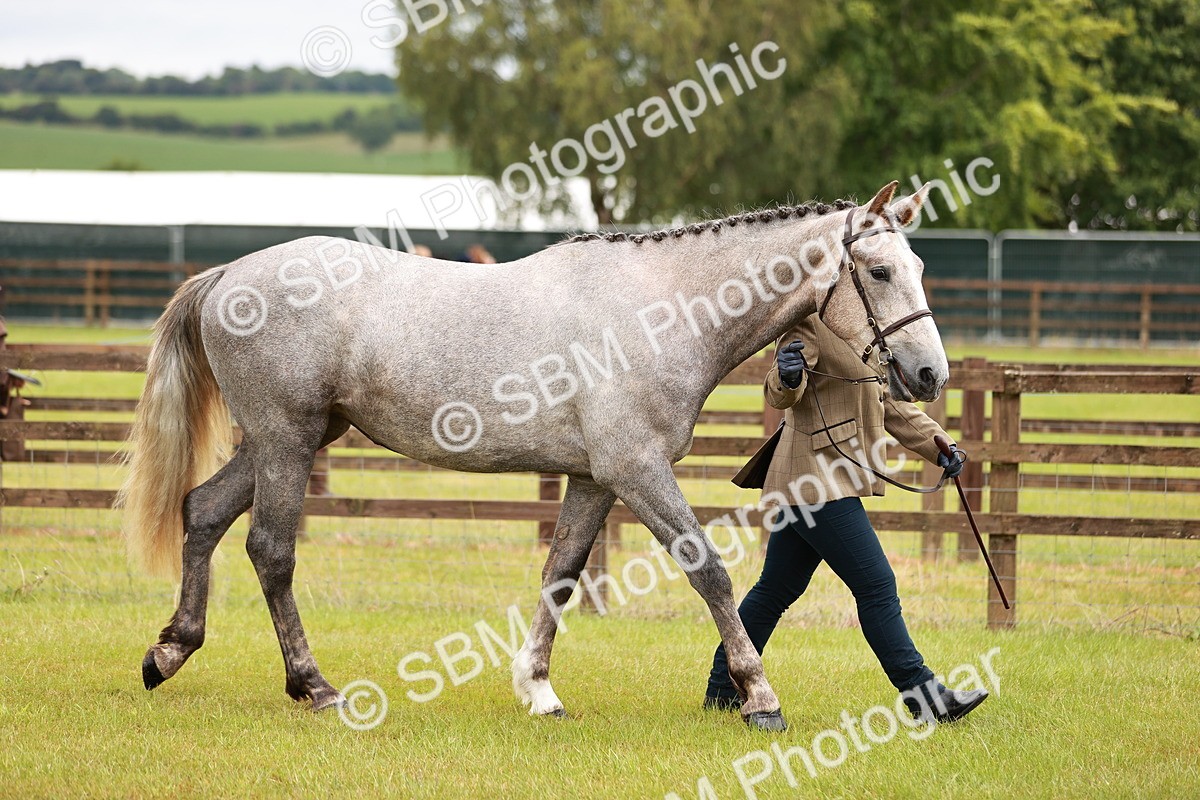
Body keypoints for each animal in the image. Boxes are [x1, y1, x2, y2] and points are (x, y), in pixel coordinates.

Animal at [119, 180, 946, 732]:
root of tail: (228, 273)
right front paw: (760, 698)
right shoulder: (637, 471)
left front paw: (538, 689)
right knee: (272, 551)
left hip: (283, 440)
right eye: (879, 272)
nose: (930, 374)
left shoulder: (593, 479)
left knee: (204, 512)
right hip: (286, 441)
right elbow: (708, 570)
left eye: (919, 270)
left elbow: (561, 577)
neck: (660, 308)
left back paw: (169, 652)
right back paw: (312, 685)